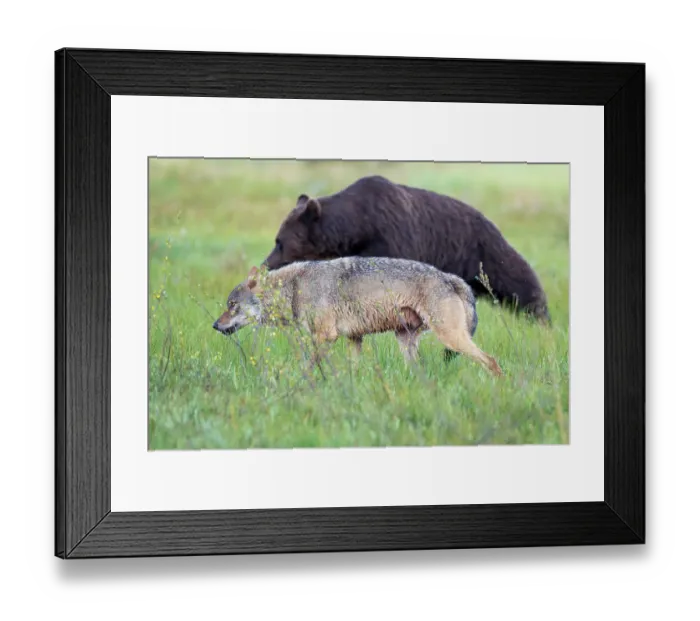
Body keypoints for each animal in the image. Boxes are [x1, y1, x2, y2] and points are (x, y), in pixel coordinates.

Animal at [212, 257, 503, 377]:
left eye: (232, 305)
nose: (215, 325)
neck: (295, 287)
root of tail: (451, 279)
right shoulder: (354, 338)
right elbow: (353, 370)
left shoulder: (325, 337)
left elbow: (307, 367)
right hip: (406, 341)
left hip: (451, 339)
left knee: (492, 361)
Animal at [262, 175, 551, 324]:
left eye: (279, 241)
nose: (266, 265)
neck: (356, 228)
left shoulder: (392, 239)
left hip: (482, 251)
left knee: (516, 279)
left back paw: (541, 319)